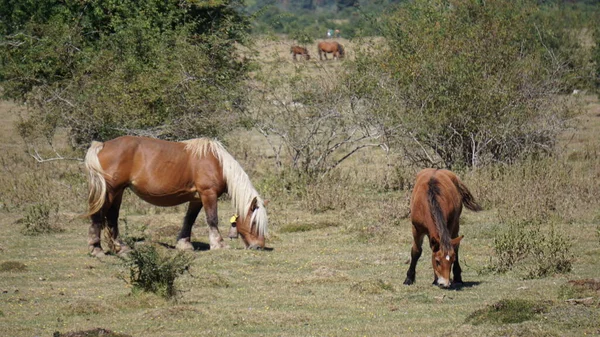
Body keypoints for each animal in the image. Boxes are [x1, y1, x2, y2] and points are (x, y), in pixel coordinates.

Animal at [85, 135, 270, 256]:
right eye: (254, 222)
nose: (258, 246)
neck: (217, 163)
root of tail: (102, 145)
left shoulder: (196, 199)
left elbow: (189, 220)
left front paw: (184, 244)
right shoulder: (208, 194)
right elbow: (212, 219)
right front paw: (219, 244)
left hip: (118, 192)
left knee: (112, 217)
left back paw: (120, 248)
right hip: (110, 191)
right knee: (98, 216)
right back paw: (96, 249)